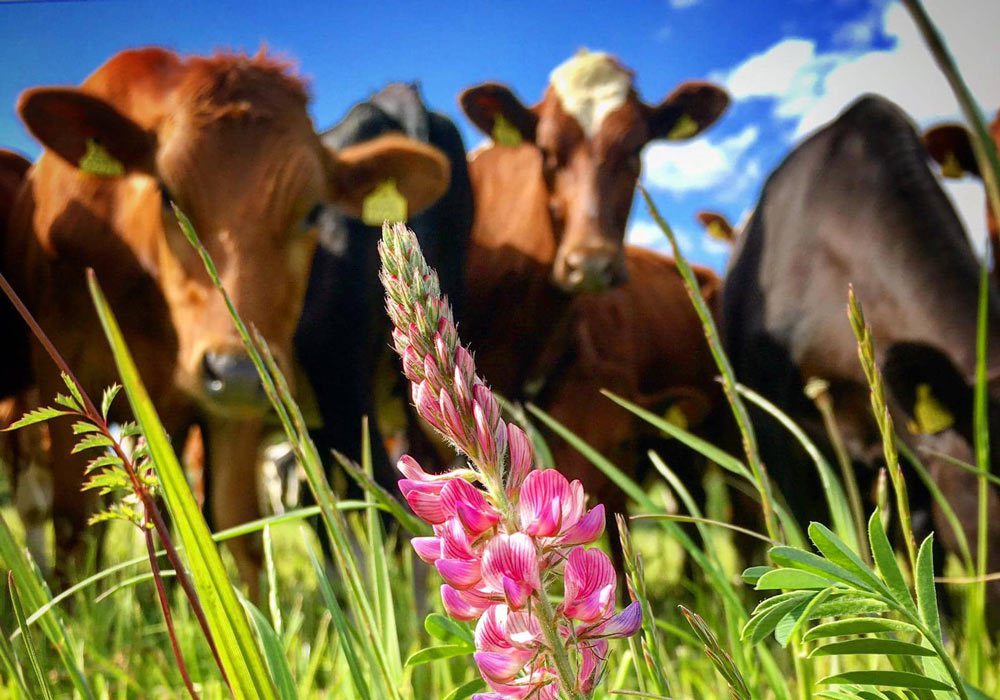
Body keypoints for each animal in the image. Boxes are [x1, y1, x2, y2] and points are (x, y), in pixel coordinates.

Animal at [2, 48, 450, 593]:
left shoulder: (240, 402)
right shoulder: (61, 367)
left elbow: (237, 526)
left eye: (312, 213)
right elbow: (74, 524)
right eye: (167, 194)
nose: (235, 371)